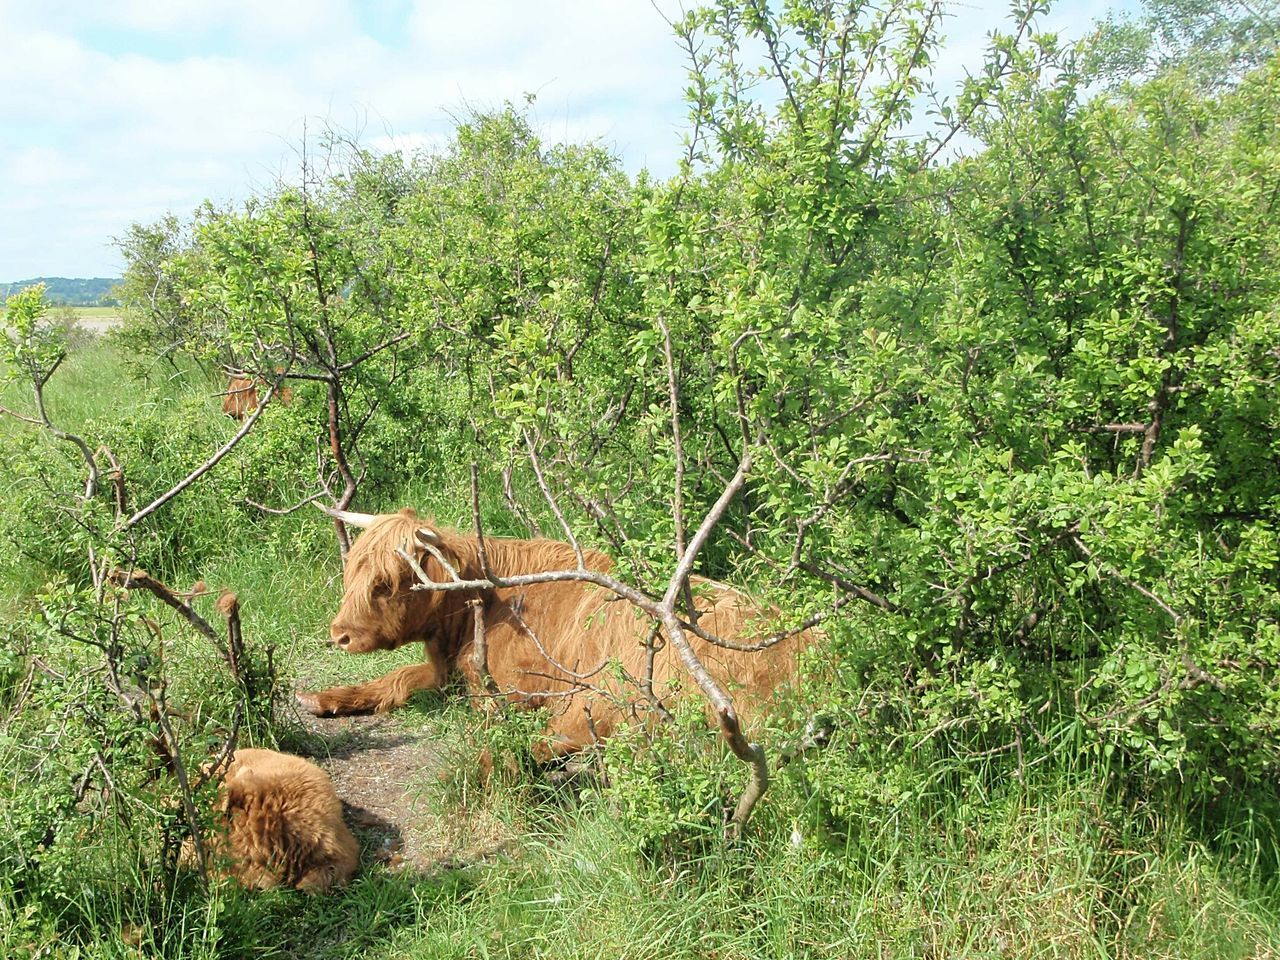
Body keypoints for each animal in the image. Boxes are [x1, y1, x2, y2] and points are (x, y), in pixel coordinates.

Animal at [299, 512, 814, 757]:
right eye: (353, 569)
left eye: (388, 582)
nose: (339, 635)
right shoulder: (447, 670)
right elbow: (397, 678)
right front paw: (323, 698)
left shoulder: (507, 686)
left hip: (617, 685)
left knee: (570, 735)